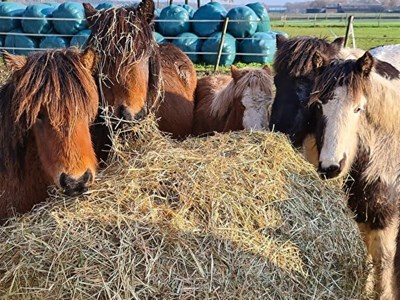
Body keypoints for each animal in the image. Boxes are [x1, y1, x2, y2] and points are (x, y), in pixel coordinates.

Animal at [310, 51, 400, 298]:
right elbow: (367, 256)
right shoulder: (361, 217)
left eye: (358, 109)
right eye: (319, 106)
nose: (331, 167)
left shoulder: (387, 223)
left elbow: (383, 265)